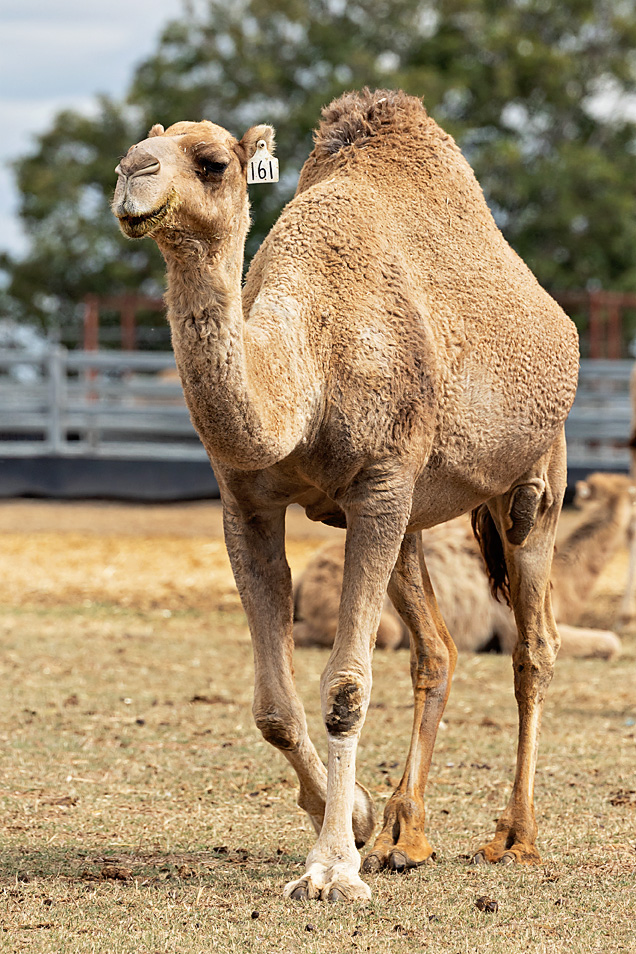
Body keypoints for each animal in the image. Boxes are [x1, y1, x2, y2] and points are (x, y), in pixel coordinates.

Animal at [112, 89, 579, 902]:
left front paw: (331, 869)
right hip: (415, 514)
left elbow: (345, 690)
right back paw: (405, 834)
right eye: (131, 153)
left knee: (533, 647)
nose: (134, 175)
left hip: (533, 478)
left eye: (212, 162)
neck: (308, 364)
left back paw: (514, 837)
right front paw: (355, 815)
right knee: (437, 650)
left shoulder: (382, 482)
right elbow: (273, 707)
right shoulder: (249, 504)